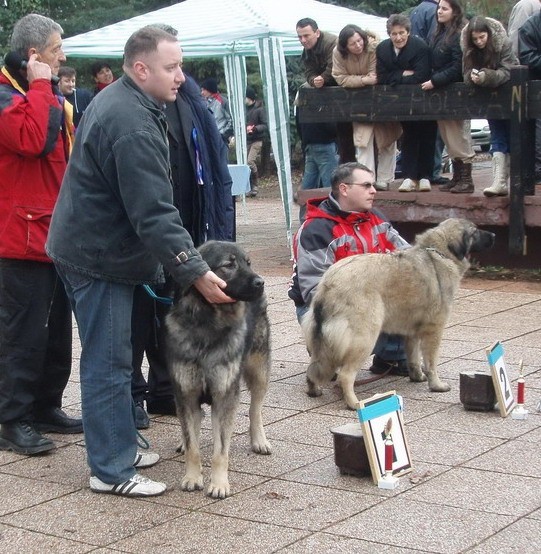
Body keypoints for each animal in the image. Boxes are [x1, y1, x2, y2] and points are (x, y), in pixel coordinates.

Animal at [163, 239, 270, 498]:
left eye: (248, 262)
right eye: (229, 265)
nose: (260, 282)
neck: (207, 324)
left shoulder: (223, 395)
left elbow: (221, 451)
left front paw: (220, 483)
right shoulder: (186, 393)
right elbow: (192, 444)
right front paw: (192, 477)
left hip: (259, 370)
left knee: (255, 409)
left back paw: (259, 440)